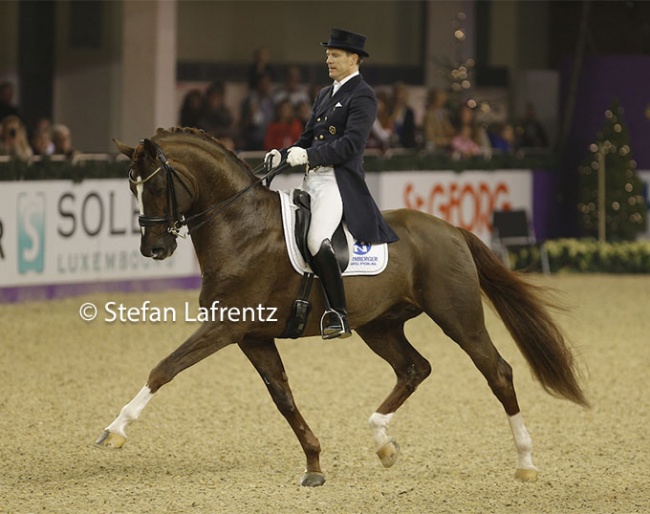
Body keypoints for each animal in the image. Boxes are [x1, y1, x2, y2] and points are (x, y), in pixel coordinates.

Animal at [96, 127, 588, 484]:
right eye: (131, 188)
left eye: (155, 186)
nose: (153, 249)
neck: (241, 227)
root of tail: (451, 229)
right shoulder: (252, 336)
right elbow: (283, 397)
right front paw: (314, 465)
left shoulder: (226, 326)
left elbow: (165, 367)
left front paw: (115, 430)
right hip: (380, 325)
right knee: (415, 368)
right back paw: (383, 442)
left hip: (458, 317)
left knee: (497, 372)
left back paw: (525, 463)